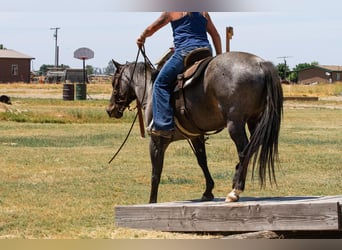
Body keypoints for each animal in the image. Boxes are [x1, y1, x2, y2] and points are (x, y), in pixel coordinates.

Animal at [107, 50, 284, 203]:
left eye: (114, 82)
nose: (110, 110)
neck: (150, 90)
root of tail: (260, 63)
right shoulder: (196, 136)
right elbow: (202, 160)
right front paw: (208, 191)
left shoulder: (157, 141)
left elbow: (156, 172)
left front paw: (152, 201)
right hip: (255, 121)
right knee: (253, 146)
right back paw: (235, 178)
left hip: (235, 124)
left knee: (244, 151)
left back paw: (235, 190)